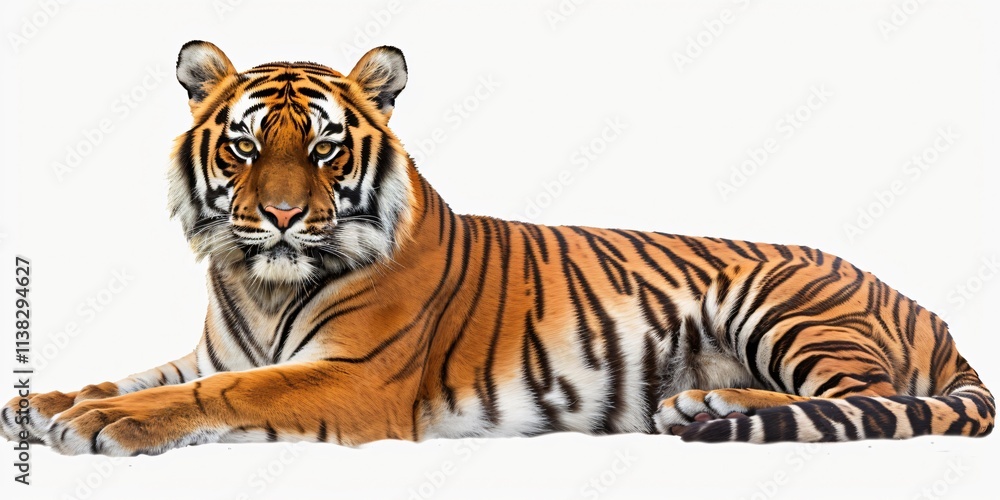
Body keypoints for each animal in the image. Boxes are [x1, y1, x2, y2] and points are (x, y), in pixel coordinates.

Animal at [1, 41, 993, 456]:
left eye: (323, 149)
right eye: (245, 147)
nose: (280, 217)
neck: (261, 282)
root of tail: (926, 308)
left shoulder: (356, 375)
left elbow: (221, 395)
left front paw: (100, 426)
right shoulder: (211, 349)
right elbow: (130, 374)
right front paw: (42, 404)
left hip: (785, 303)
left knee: (863, 398)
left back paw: (706, 404)